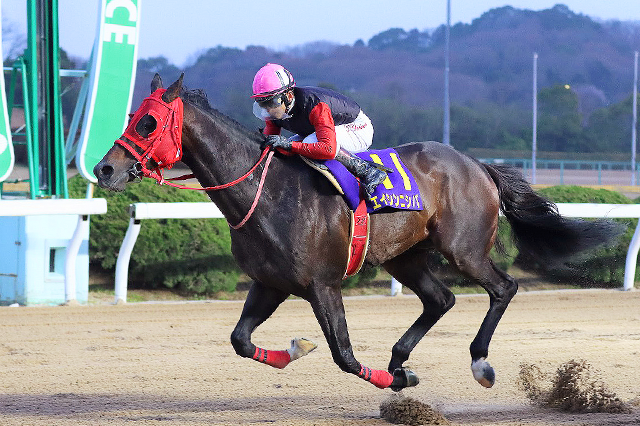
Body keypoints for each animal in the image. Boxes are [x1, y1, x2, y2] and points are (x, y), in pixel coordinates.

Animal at [94, 75, 620, 392]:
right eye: (130, 117)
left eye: (147, 122)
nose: (104, 169)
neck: (266, 193)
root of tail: (478, 165)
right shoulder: (270, 283)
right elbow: (241, 340)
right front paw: (296, 348)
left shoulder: (322, 285)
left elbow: (344, 356)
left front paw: (398, 384)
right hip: (404, 255)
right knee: (441, 299)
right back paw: (399, 358)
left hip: (464, 249)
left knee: (502, 287)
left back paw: (478, 363)